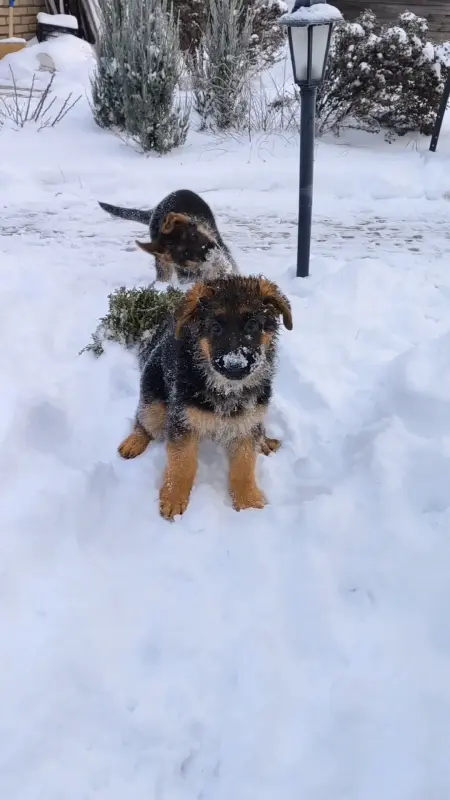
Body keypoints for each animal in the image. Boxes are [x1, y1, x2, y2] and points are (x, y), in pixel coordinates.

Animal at [98, 188, 239, 284]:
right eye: (186, 253)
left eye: (193, 235)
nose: (211, 254)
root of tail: (156, 209)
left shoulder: (220, 248)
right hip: (161, 262)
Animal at [117, 276, 292, 520]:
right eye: (215, 328)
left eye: (252, 325)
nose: (235, 365)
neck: (226, 389)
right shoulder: (182, 421)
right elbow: (182, 462)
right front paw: (174, 497)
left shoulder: (246, 422)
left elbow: (244, 464)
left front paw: (248, 504)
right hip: (155, 404)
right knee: (144, 419)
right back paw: (134, 441)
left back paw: (264, 441)